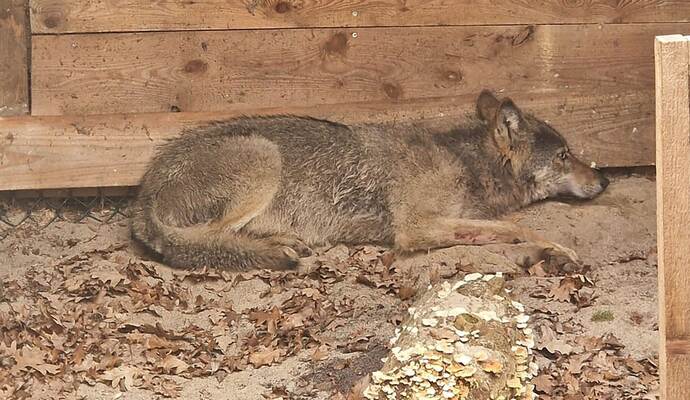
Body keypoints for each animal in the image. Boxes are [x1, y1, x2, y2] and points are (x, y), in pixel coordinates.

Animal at [130, 90, 609, 272]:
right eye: (565, 156)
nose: (604, 180)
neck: (464, 162)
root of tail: (143, 193)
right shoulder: (415, 228)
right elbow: (518, 226)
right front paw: (557, 249)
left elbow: (503, 227)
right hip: (263, 157)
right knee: (204, 242)